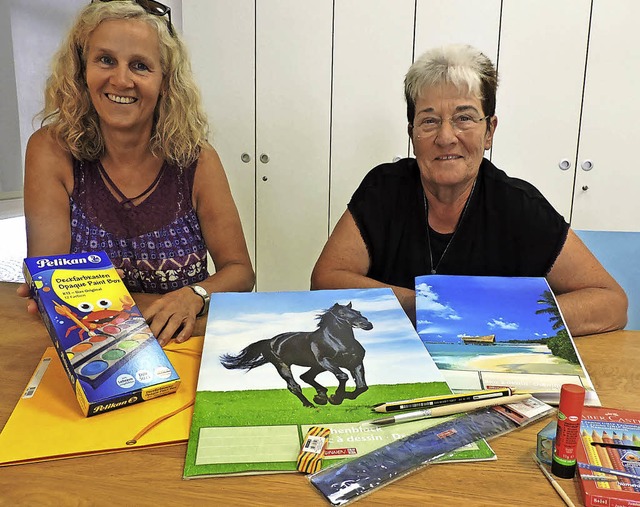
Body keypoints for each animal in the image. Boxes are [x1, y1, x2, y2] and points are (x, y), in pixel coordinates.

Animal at [220, 302, 372, 408]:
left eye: (357, 311)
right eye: (342, 314)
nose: (367, 324)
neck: (338, 342)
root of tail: (270, 341)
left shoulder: (355, 363)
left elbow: (362, 386)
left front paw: (341, 396)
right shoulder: (326, 361)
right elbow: (343, 376)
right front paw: (335, 398)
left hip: (316, 366)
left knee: (305, 377)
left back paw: (320, 397)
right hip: (283, 365)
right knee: (294, 385)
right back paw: (311, 404)